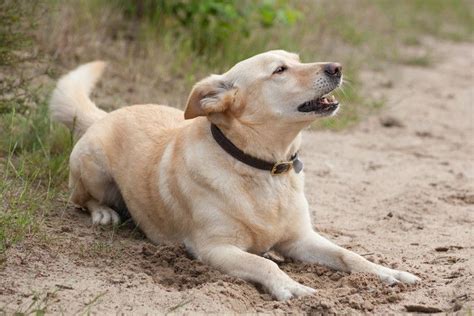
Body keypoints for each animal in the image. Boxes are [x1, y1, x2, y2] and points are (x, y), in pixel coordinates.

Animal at [51, 50, 418, 300]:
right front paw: (292, 287)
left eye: (297, 59)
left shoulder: (300, 239)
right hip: (93, 166)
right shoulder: (215, 249)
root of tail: (107, 114)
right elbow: (265, 264)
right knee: (81, 198)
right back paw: (104, 213)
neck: (263, 167)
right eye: (280, 70)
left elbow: (349, 254)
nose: (337, 67)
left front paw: (388, 273)